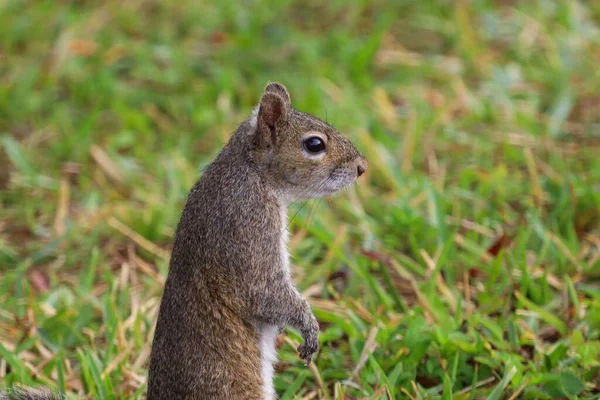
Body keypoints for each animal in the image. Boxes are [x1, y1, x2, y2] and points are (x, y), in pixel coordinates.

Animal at [148, 82, 368, 400]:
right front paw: (309, 327)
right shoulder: (248, 229)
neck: (249, 173)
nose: (362, 166)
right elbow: (262, 292)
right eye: (314, 144)